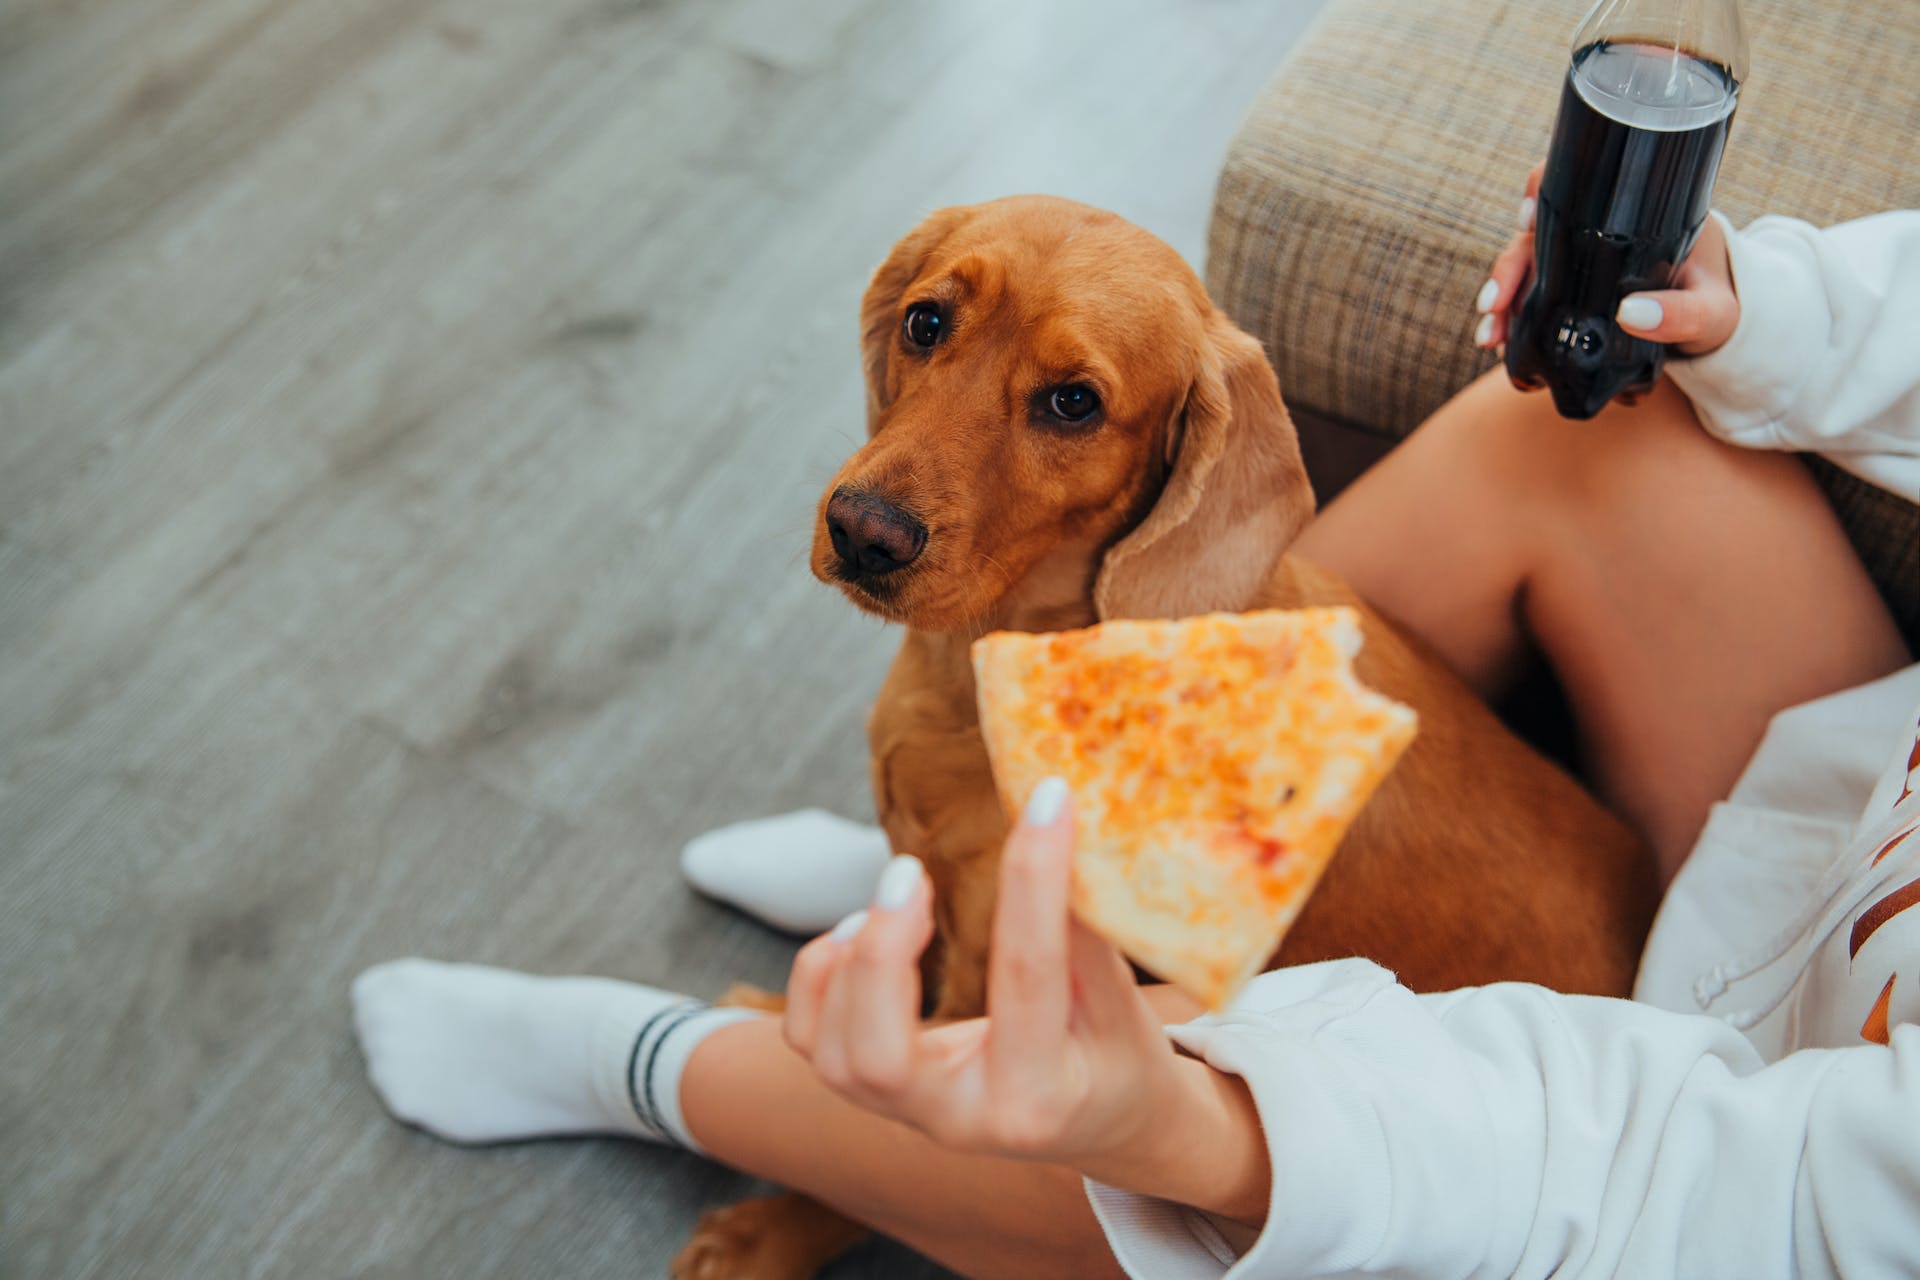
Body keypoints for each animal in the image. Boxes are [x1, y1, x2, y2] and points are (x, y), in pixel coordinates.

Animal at [675, 195, 1666, 1274]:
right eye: (926, 322)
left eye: (1073, 403)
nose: (864, 530)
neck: (978, 665)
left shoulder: (988, 982)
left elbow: (879, 1120)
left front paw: (771, 1225)